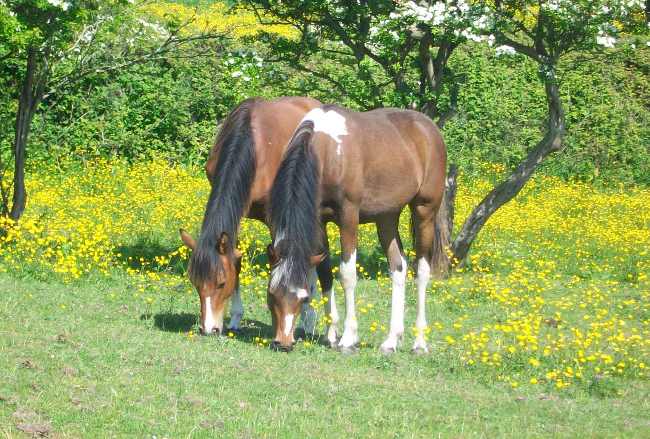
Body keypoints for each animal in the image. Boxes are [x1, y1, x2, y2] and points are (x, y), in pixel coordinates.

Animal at [177, 98, 332, 342]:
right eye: (195, 282)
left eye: (221, 283)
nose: (208, 329)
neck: (253, 144)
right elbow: (236, 260)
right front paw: (235, 318)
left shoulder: (275, 219)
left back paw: (308, 318)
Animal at [264, 105, 446, 354]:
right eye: (272, 294)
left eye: (302, 299)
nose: (282, 342)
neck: (327, 151)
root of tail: (429, 127)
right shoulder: (319, 220)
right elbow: (325, 274)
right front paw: (331, 335)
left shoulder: (348, 216)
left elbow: (347, 274)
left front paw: (348, 338)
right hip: (387, 217)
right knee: (398, 267)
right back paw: (391, 340)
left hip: (424, 211)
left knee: (422, 271)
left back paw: (419, 342)